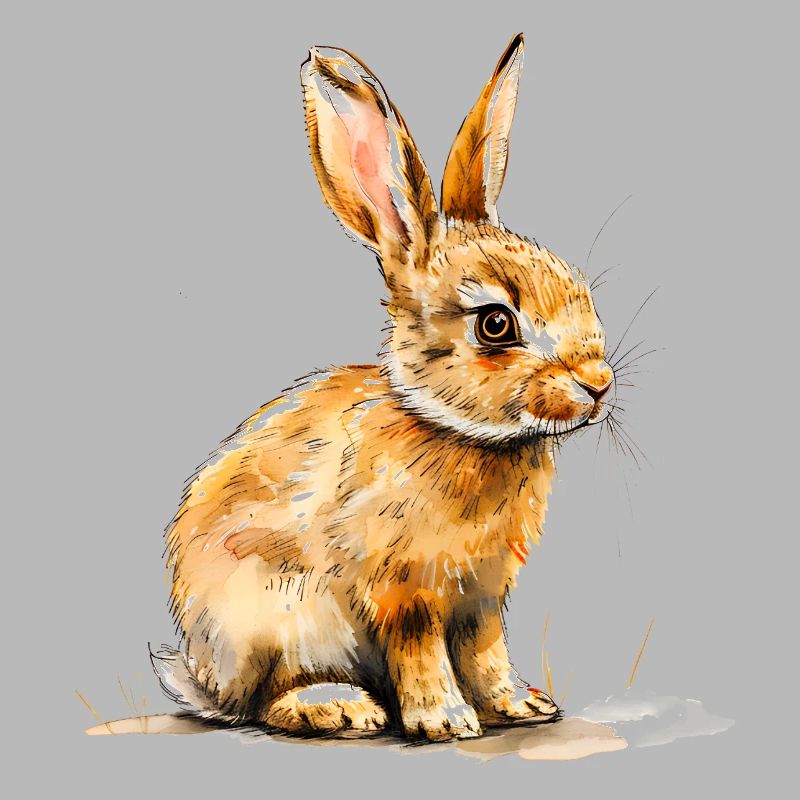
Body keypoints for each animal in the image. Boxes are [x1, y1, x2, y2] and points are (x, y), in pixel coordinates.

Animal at [153, 33, 615, 742]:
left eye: (579, 286)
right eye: (496, 324)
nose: (598, 384)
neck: (459, 432)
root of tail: (205, 679)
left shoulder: (482, 596)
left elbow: (486, 650)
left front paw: (518, 705)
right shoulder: (404, 589)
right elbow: (421, 650)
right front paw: (445, 721)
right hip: (279, 618)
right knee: (267, 701)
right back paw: (339, 707)